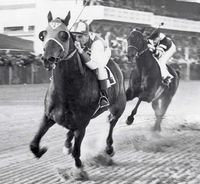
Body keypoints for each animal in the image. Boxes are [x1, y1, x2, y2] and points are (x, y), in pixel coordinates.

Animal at [29, 11, 126, 180]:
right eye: (43, 34)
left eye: (64, 35)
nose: (48, 58)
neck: (67, 90)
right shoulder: (48, 116)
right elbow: (33, 144)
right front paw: (42, 150)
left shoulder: (82, 124)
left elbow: (76, 151)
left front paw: (79, 170)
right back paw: (67, 144)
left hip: (117, 107)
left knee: (111, 123)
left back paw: (109, 148)